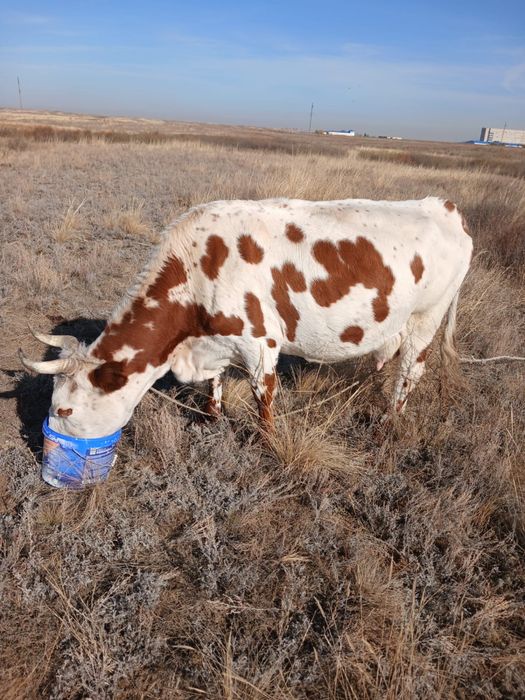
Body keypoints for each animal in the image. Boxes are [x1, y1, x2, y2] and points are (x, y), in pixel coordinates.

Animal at [20, 196, 472, 438]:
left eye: (64, 411)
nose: (42, 440)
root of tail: (444, 207)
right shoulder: (218, 340)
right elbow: (215, 383)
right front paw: (213, 418)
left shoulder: (261, 345)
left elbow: (263, 398)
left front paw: (266, 442)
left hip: (426, 318)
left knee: (411, 370)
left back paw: (390, 418)